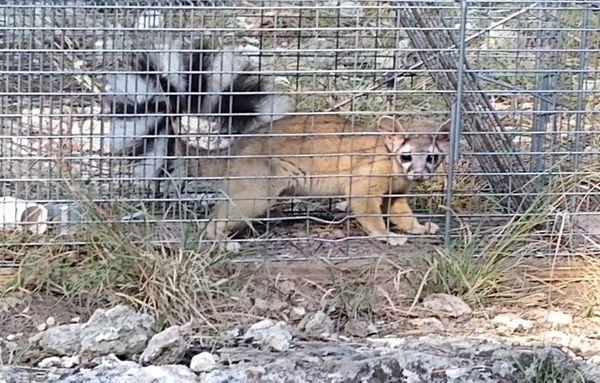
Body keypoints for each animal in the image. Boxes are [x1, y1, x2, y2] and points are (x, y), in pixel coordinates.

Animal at [185, 115, 448, 246]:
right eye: (406, 156)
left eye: (432, 157)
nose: (419, 174)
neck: (395, 168)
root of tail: (233, 148)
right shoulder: (363, 183)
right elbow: (370, 214)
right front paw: (386, 235)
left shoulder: (396, 194)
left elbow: (402, 214)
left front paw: (419, 227)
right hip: (256, 193)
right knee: (213, 220)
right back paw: (219, 239)